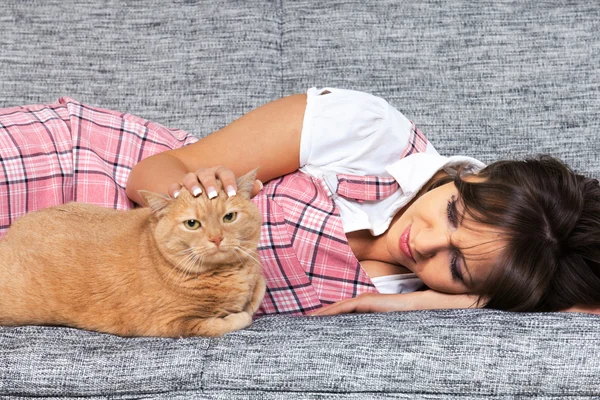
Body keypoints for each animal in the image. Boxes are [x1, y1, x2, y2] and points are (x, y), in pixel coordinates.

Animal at [0, 170, 264, 338]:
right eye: (192, 224)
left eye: (229, 217)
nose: (216, 238)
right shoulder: (171, 323)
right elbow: (228, 322)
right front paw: (238, 315)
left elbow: (256, 294)